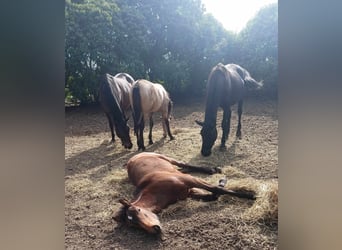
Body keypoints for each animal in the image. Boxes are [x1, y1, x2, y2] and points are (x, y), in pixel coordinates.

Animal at [113, 151, 255, 235]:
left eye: (138, 210)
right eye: (134, 225)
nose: (155, 229)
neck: (156, 189)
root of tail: (132, 157)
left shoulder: (190, 180)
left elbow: (216, 189)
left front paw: (251, 195)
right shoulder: (190, 192)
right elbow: (213, 195)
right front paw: (222, 181)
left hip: (166, 158)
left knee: (183, 164)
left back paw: (212, 169)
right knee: (183, 168)